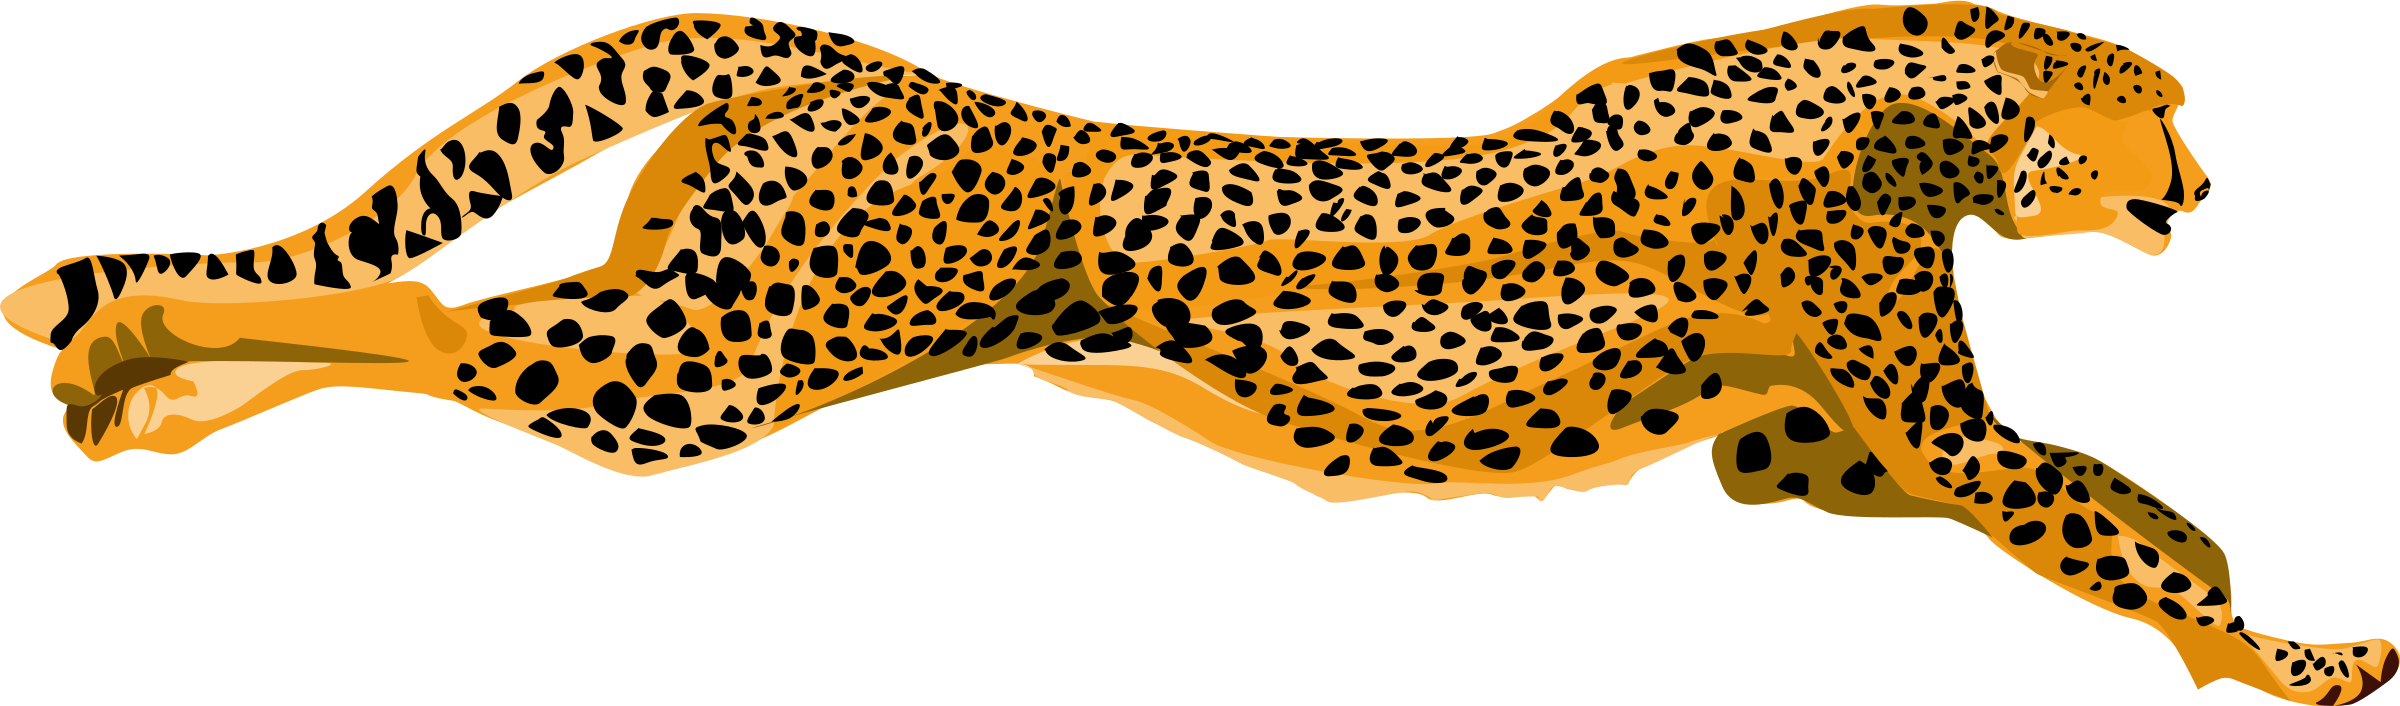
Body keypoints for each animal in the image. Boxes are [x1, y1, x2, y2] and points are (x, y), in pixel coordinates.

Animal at [0, 3, 2387, 702]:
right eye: (2163, 110)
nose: (2213, 171)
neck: (1953, 96)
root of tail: (833, 50)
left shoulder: (1782, 445)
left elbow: (2098, 491)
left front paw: (2238, 585)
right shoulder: (1924, 425)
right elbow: (2083, 512)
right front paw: (2293, 653)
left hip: (692, 312)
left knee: (429, 322)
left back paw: (139, 378)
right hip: (725, 359)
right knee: (419, 307)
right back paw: (123, 345)